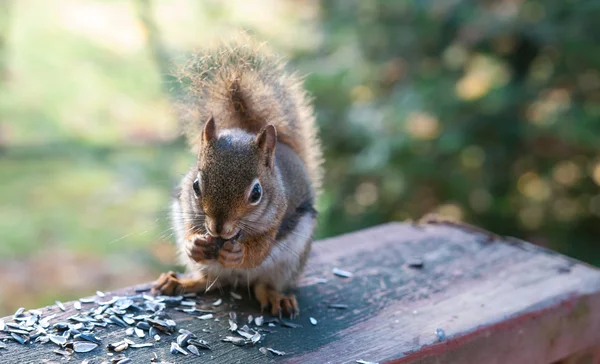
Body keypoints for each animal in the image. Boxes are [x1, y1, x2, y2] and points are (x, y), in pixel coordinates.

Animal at [154, 34, 324, 318]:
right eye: (196, 185)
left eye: (256, 193)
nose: (217, 228)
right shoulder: (187, 207)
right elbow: (190, 229)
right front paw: (194, 244)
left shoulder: (278, 216)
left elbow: (259, 250)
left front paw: (239, 254)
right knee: (210, 281)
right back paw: (179, 282)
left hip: (288, 262)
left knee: (262, 285)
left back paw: (276, 297)